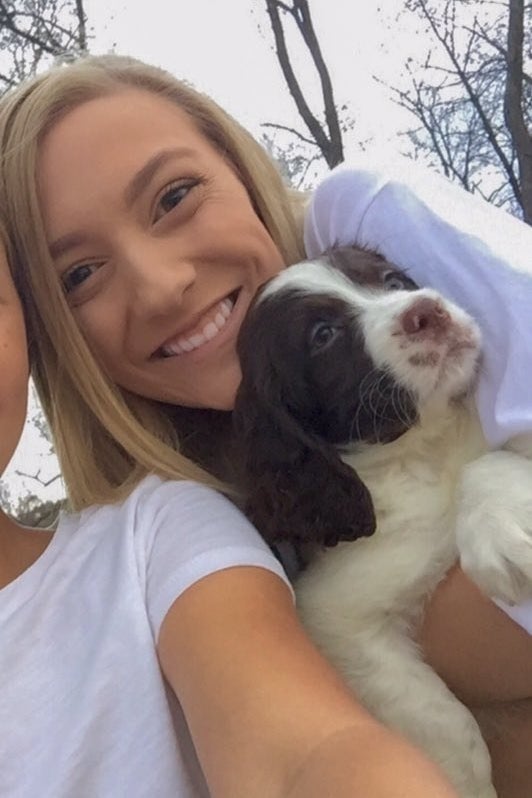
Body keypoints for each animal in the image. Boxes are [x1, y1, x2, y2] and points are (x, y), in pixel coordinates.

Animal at [233, 246, 532, 798]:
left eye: (393, 281)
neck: (425, 449)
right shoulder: (337, 619)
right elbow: (442, 721)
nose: (427, 312)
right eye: (323, 335)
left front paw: (501, 527)